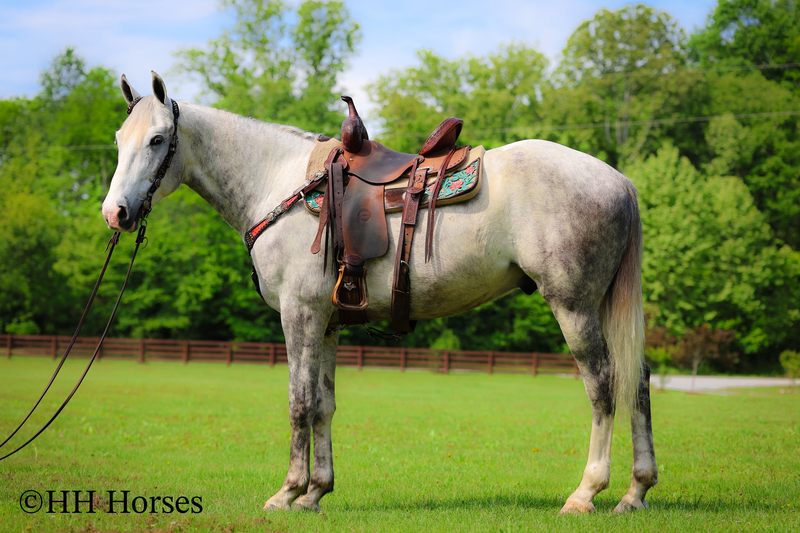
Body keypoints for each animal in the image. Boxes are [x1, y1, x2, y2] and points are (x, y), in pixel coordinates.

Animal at [102, 72, 657, 515]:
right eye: (118, 139)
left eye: (157, 140)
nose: (115, 213)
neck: (279, 183)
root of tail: (620, 180)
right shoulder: (326, 324)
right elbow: (323, 404)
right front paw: (315, 493)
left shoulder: (299, 316)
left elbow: (299, 402)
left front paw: (287, 493)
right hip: (602, 307)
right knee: (638, 380)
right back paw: (635, 492)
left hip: (574, 306)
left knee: (603, 384)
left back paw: (586, 493)